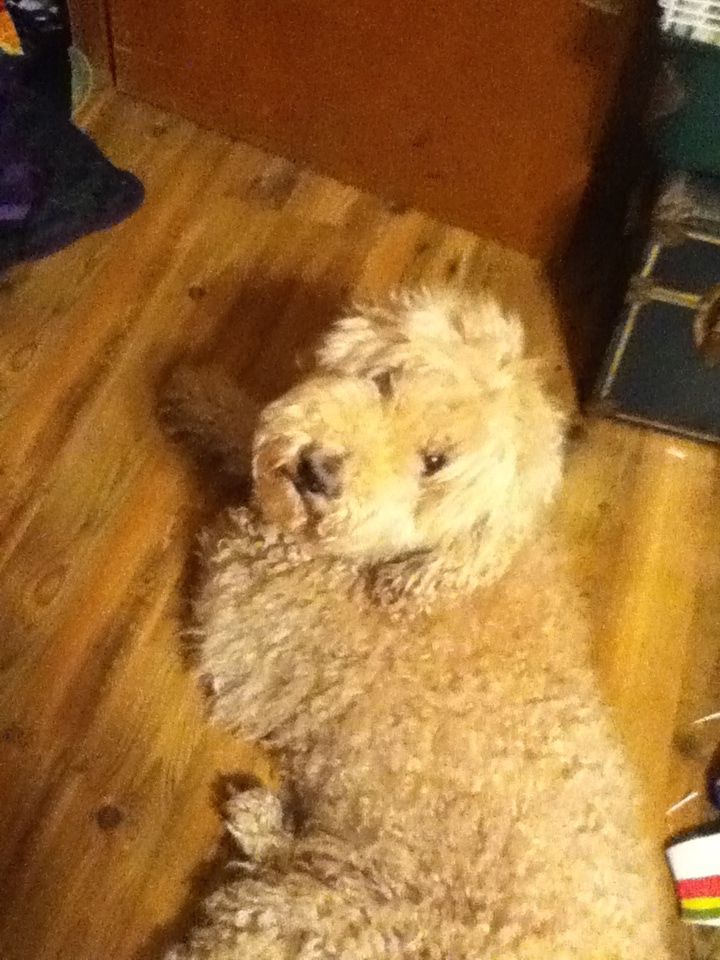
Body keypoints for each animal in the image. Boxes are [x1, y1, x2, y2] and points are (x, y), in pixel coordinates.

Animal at [161, 290, 681, 959]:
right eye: (385, 380)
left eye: (434, 463)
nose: (317, 471)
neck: (426, 571)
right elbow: (244, 427)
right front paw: (201, 393)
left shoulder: (250, 630)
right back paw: (262, 822)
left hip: (314, 916)